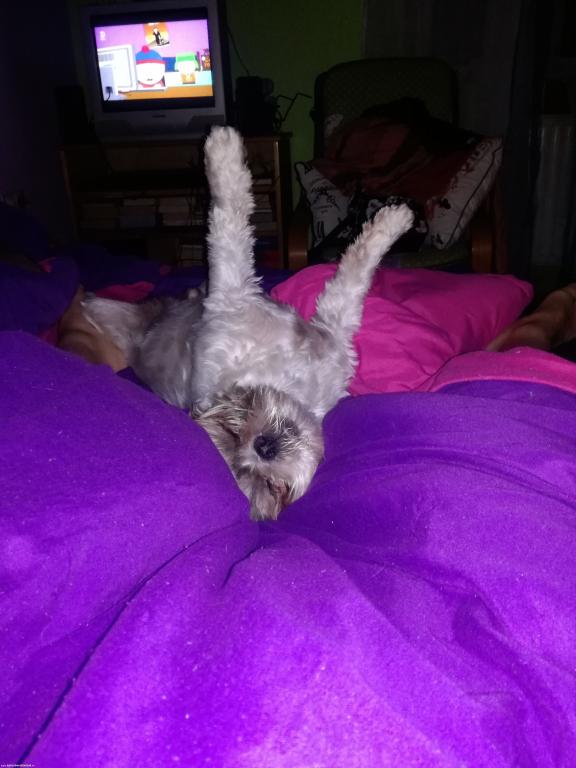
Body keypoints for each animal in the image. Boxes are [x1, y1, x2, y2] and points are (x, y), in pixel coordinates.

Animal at [82, 126, 413, 520]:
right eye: (268, 486)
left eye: (229, 432)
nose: (263, 447)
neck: (281, 380)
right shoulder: (232, 289)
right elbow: (229, 224)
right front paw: (223, 151)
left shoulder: (333, 335)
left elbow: (355, 270)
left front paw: (392, 223)